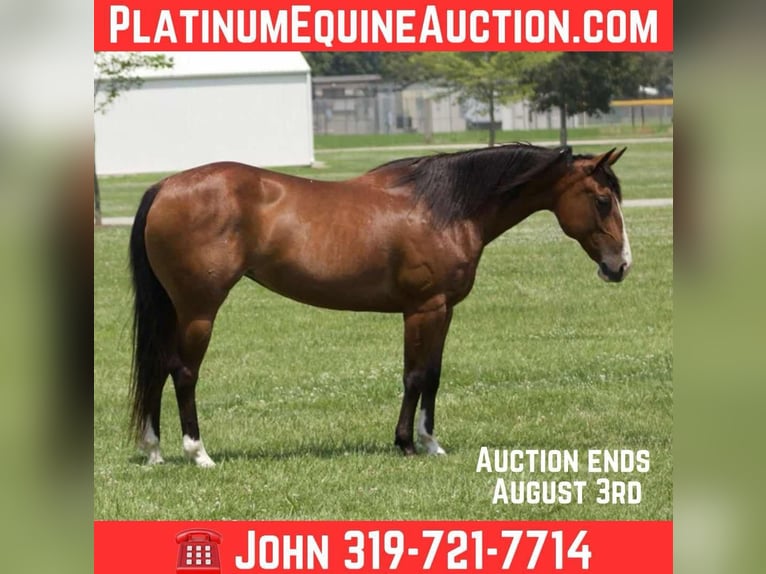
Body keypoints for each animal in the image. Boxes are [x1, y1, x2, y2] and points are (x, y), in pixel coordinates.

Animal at [128, 143, 631, 467]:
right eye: (602, 201)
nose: (620, 266)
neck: (444, 208)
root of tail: (165, 186)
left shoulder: (444, 310)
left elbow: (433, 375)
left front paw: (431, 443)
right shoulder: (423, 309)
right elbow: (415, 376)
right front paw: (407, 443)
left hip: (174, 310)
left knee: (157, 366)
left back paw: (154, 451)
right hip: (198, 310)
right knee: (183, 373)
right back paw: (198, 453)